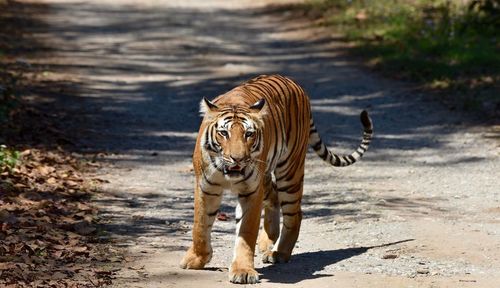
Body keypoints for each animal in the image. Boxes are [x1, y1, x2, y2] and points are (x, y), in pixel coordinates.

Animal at [179, 74, 372, 284]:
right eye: (224, 133)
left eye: (248, 134)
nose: (238, 158)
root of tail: (294, 83)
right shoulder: (206, 186)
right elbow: (200, 225)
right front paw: (196, 259)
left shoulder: (251, 191)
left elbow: (246, 232)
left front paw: (243, 271)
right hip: (266, 177)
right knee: (274, 197)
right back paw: (268, 239)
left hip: (289, 171)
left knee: (295, 213)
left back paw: (279, 253)